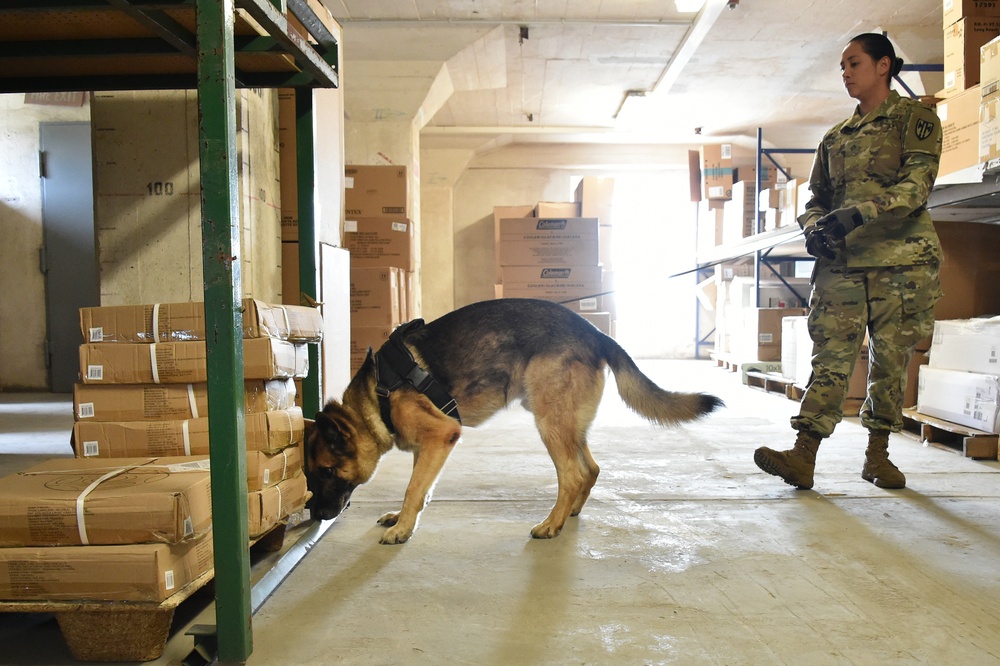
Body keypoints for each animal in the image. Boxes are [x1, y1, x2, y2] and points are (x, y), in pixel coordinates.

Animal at [302, 298, 720, 544]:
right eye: (310, 475)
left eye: (326, 472)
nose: (317, 516)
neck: (376, 397)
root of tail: (596, 333)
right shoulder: (430, 448)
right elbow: (423, 488)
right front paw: (402, 519)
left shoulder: (442, 435)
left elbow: (413, 488)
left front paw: (403, 528)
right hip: (568, 423)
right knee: (591, 468)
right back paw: (571, 513)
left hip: (550, 423)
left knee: (573, 475)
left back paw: (552, 524)